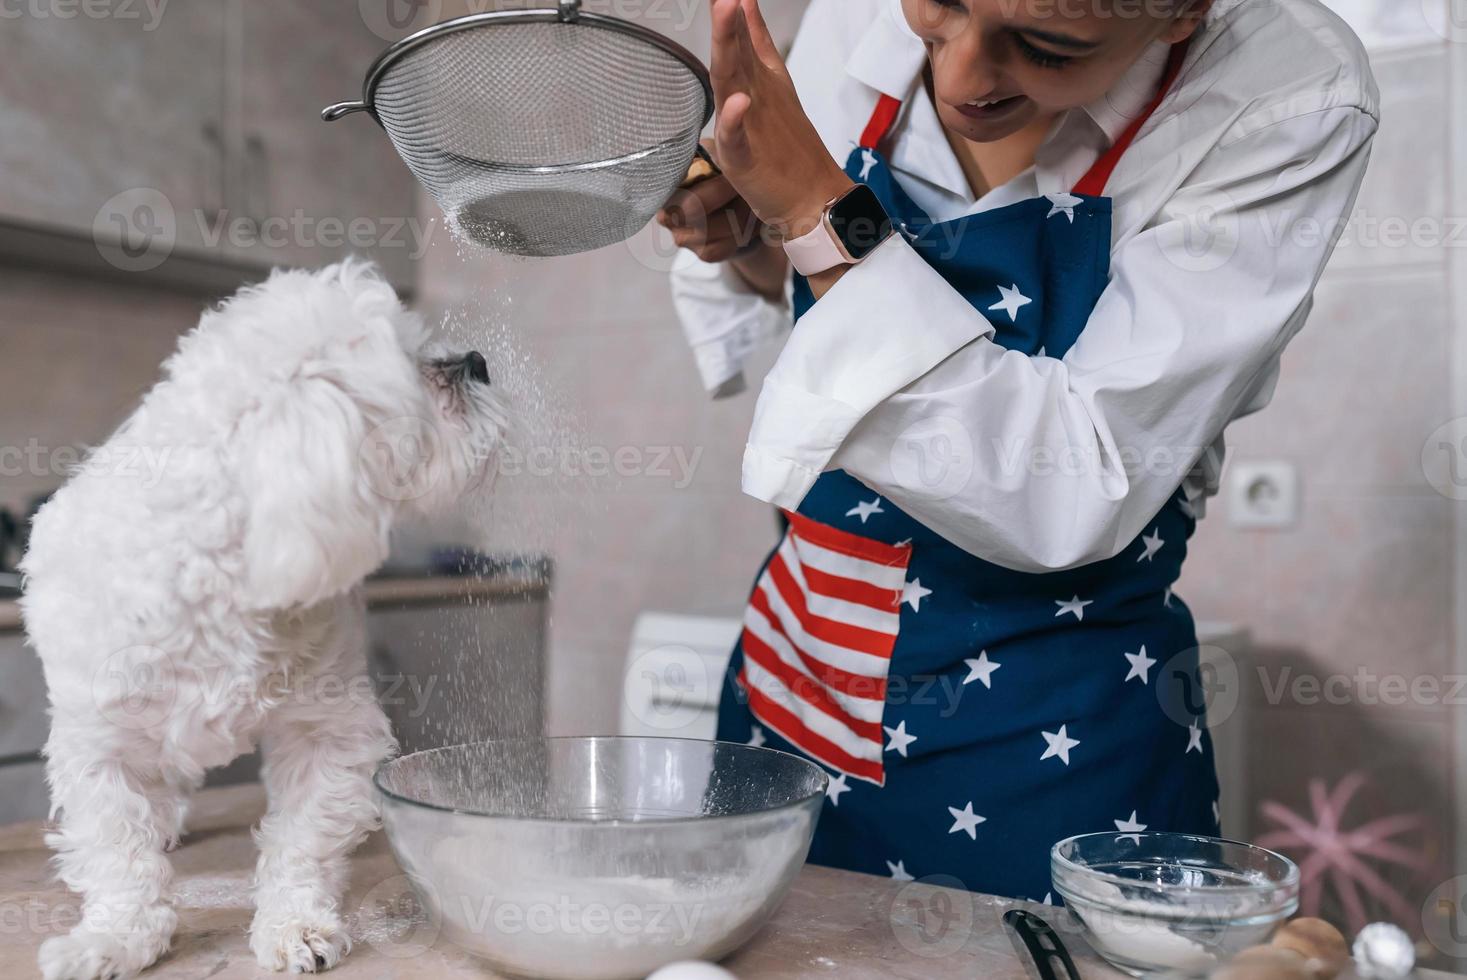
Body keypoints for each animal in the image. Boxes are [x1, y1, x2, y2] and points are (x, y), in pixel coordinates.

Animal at [18, 259, 504, 979]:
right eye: (412, 367)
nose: (477, 362)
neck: (220, 579)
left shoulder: (328, 731)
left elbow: (301, 844)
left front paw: (295, 924)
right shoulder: (96, 747)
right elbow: (118, 855)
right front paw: (113, 939)